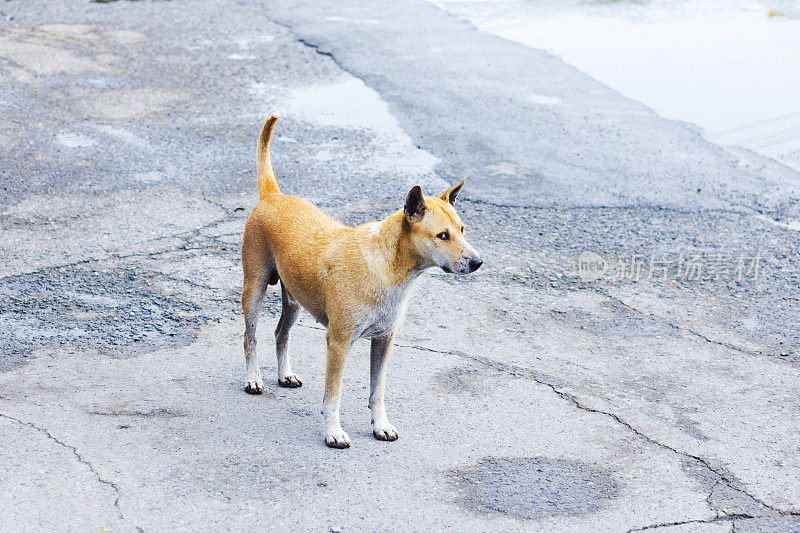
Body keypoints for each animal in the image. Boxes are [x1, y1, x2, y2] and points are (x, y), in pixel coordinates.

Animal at [242, 114, 482, 446]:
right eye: (442, 235)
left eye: (462, 229)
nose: (477, 262)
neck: (387, 267)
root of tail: (273, 195)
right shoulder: (338, 344)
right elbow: (333, 396)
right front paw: (333, 432)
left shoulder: (384, 341)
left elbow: (377, 391)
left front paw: (380, 425)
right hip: (254, 287)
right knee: (250, 337)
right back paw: (253, 378)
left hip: (294, 300)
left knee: (281, 333)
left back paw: (284, 374)